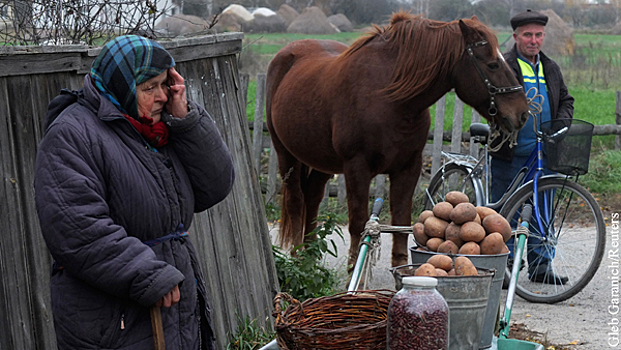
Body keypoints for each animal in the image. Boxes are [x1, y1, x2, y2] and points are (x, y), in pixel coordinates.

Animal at [266, 11, 528, 268]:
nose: (522, 113)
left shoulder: (407, 168)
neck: (389, 98)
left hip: (323, 162)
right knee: (296, 202)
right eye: (493, 64)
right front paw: (354, 270)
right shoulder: (356, 167)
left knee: (312, 197)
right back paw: (299, 257)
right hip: (286, 156)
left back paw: (310, 258)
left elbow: (402, 222)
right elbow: (359, 224)